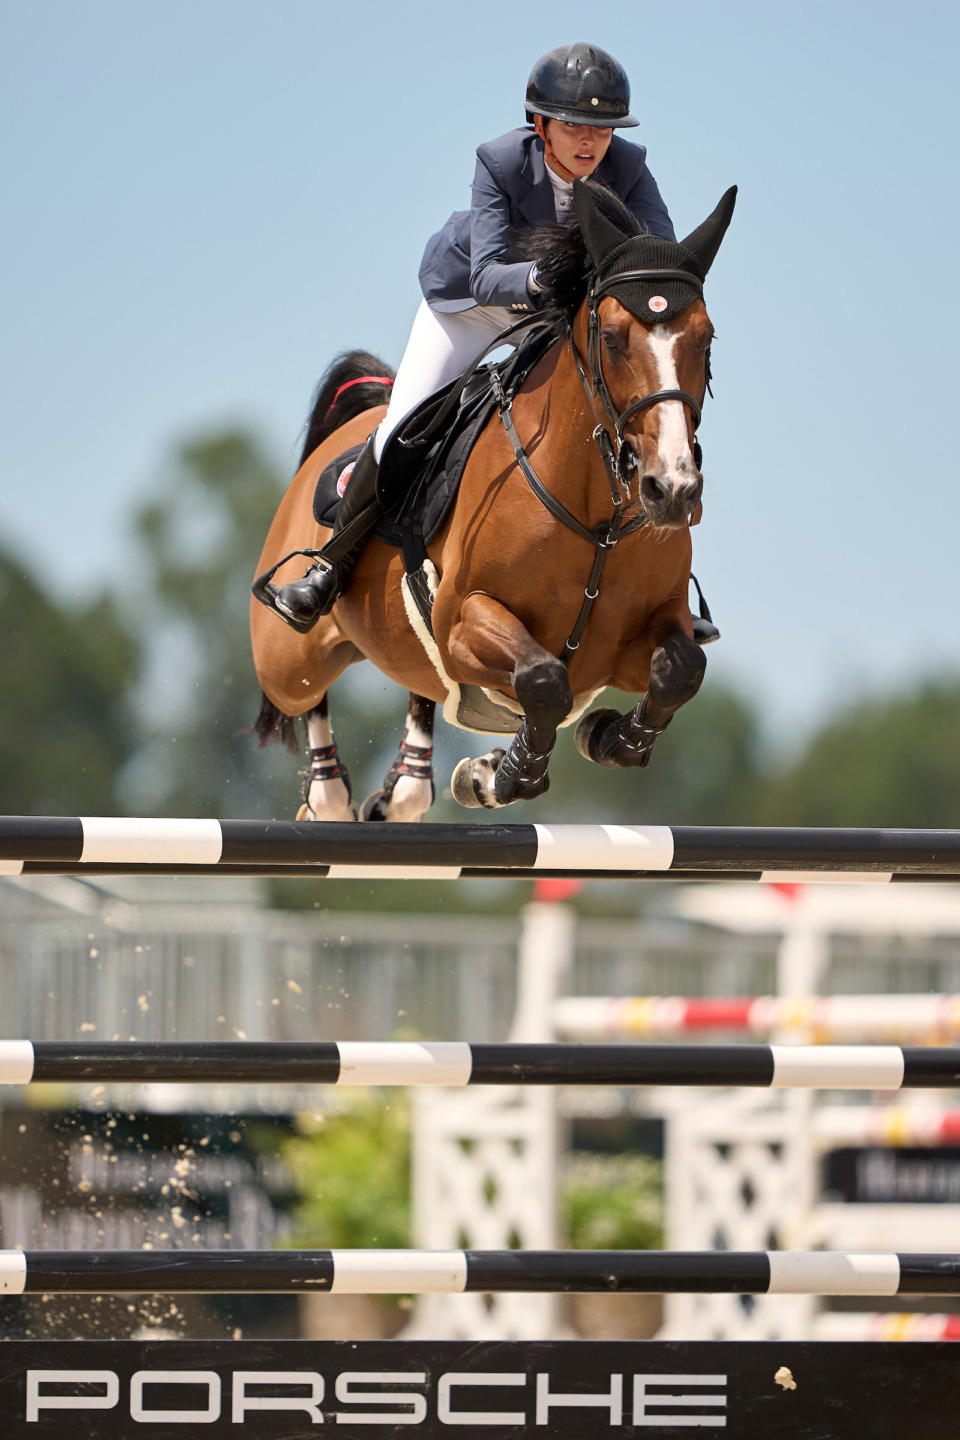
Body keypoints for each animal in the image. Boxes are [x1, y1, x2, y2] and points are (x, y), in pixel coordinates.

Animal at [247, 180, 736, 823]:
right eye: (611, 339)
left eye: (706, 340)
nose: (672, 490)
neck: (597, 518)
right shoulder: (463, 622)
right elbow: (543, 678)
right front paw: (502, 775)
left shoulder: (636, 640)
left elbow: (680, 669)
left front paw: (605, 738)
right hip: (286, 657)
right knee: (306, 694)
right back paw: (330, 789)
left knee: (423, 693)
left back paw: (406, 786)